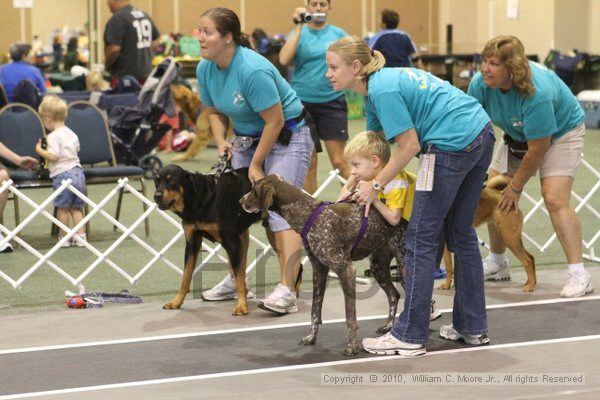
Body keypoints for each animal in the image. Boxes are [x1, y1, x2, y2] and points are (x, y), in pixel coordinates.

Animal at [152, 164, 260, 314]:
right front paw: (177, 302)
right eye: (157, 180)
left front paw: (241, 306)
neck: (198, 201)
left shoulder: (231, 242)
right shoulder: (192, 241)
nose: (156, 196)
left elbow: (239, 278)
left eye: (171, 180)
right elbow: (186, 276)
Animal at [240, 175, 408, 356]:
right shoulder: (319, 269)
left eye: (254, 190)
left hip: (404, 266)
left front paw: (352, 346)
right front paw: (311, 337)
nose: (240, 200)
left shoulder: (346, 270)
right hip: (378, 266)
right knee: (394, 295)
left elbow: (350, 316)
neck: (307, 214)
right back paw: (388, 326)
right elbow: (315, 310)